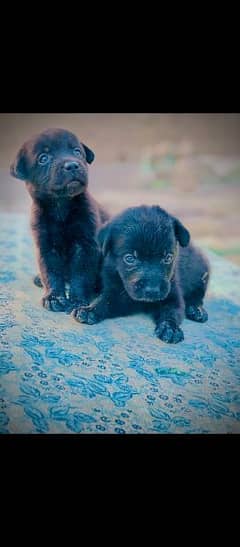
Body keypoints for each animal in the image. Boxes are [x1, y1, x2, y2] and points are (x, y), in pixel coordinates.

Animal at [10, 126, 109, 310]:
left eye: (77, 151)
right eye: (43, 158)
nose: (72, 165)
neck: (61, 206)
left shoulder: (85, 245)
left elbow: (81, 275)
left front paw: (77, 300)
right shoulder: (46, 246)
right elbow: (51, 273)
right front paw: (54, 298)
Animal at [73, 206, 210, 342]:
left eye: (168, 258)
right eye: (129, 258)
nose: (152, 290)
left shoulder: (173, 295)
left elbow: (172, 312)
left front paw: (170, 328)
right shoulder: (115, 293)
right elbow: (104, 301)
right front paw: (89, 310)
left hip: (202, 275)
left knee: (197, 296)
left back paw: (196, 310)